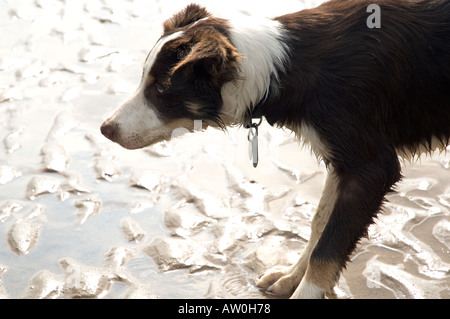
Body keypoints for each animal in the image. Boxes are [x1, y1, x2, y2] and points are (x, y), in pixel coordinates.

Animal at [102, 0, 450, 300]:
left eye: (161, 89)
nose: (105, 128)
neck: (281, 69)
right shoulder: (341, 160)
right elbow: (320, 224)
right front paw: (289, 277)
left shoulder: (371, 167)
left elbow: (328, 248)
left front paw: (305, 291)